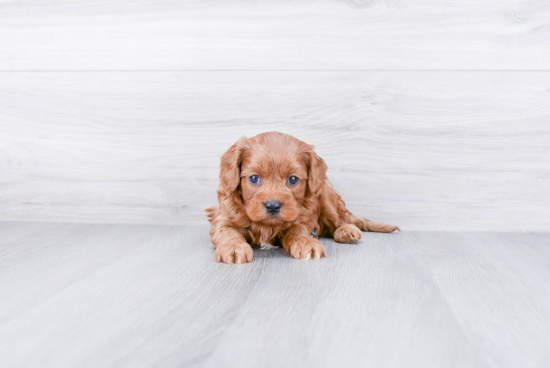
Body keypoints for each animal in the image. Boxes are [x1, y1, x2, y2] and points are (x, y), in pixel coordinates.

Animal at [207, 132, 402, 264]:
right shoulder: (223, 217)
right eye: (254, 178)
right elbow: (227, 231)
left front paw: (305, 241)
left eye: (293, 179)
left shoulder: (303, 217)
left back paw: (346, 231)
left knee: (340, 220)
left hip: (325, 194)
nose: (273, 206)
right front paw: (233, 246)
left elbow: (297, 230)